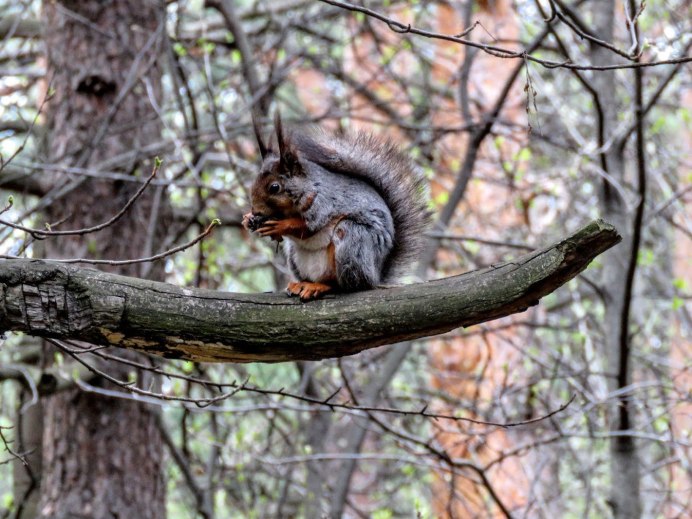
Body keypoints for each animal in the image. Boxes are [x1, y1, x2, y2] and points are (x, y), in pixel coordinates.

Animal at [242, 114, 428, 300]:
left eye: (274, 187)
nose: (256, 210)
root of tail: (376, 275)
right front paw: (248, 219)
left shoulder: (322, 205)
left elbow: (307, 228)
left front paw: (280, 226)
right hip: (294, 255)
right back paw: (301, 284)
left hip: (352, 240)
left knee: (342, 284)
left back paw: (319, 286)